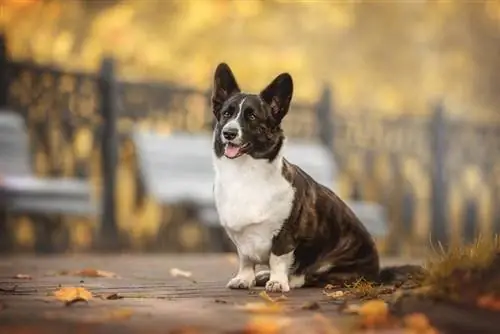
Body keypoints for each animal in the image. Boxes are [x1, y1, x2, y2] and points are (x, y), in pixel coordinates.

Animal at [209, 63, 380, 292]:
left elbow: (277, 259)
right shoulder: (242, 240)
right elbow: (246, 260)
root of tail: (377, 273)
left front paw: (277, 282)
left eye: (252, 117)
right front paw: (244, 279)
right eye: (227, 114)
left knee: (311, 276)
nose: (228, 133)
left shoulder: (285, 235)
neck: (245, 173)